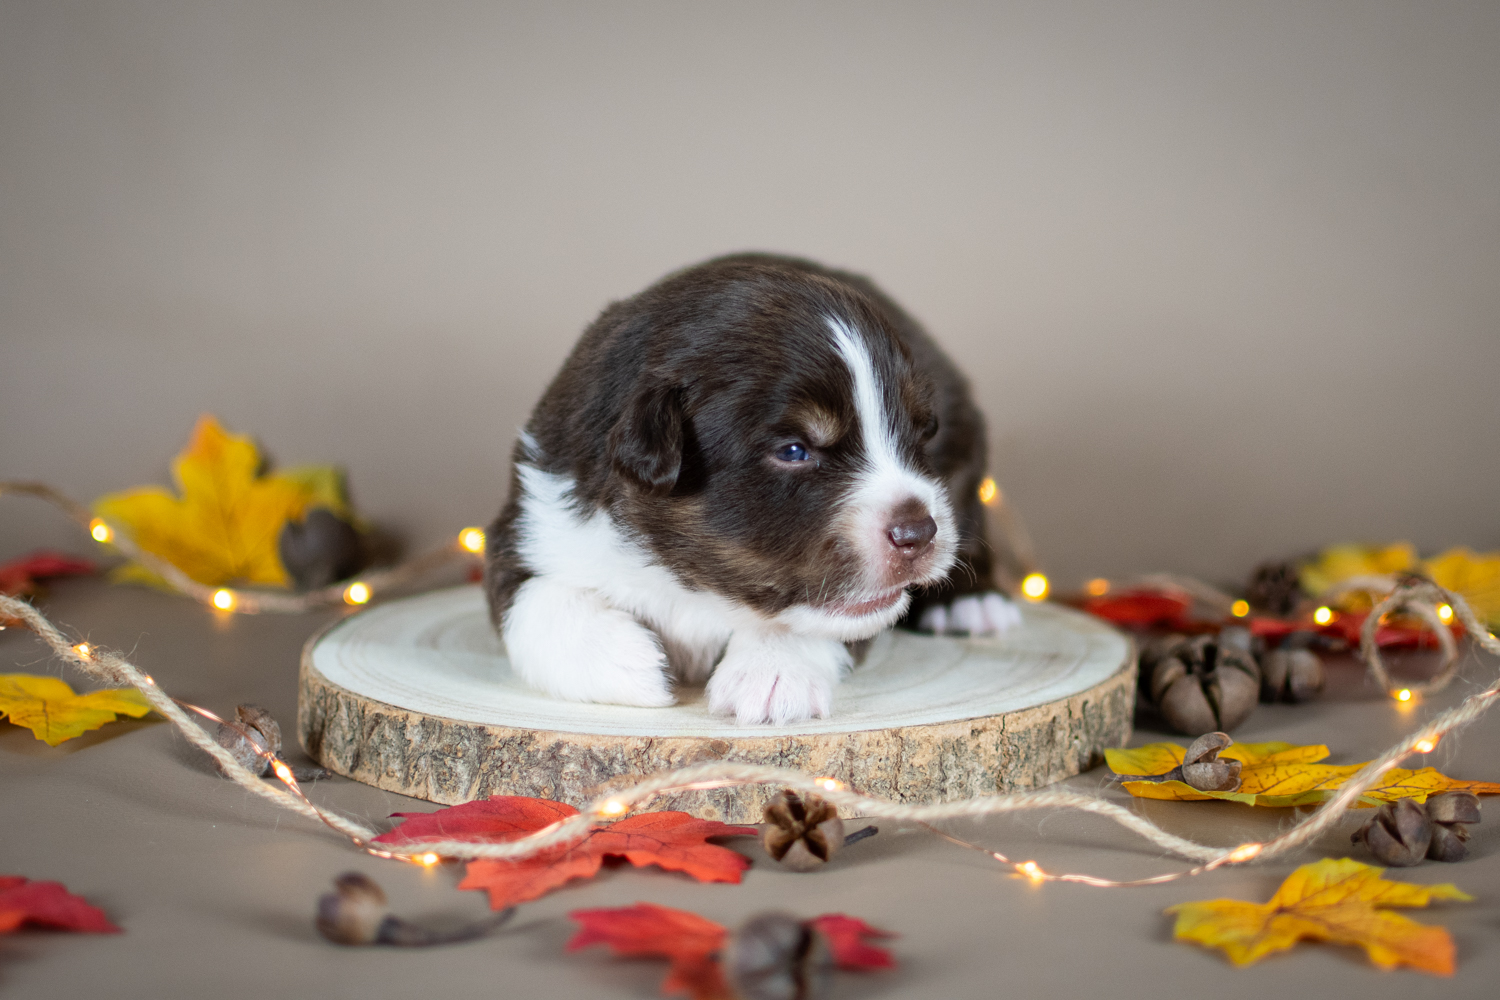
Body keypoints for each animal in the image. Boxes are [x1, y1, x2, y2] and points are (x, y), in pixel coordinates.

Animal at [486, 254, 1026, 722]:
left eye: (918, 434)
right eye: (794, 450)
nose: (918, 532)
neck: (693, 581)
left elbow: (816, 618)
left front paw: (773, 673)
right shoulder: (533, 516)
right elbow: (535, 602)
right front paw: (633, 664)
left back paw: (973, 603)